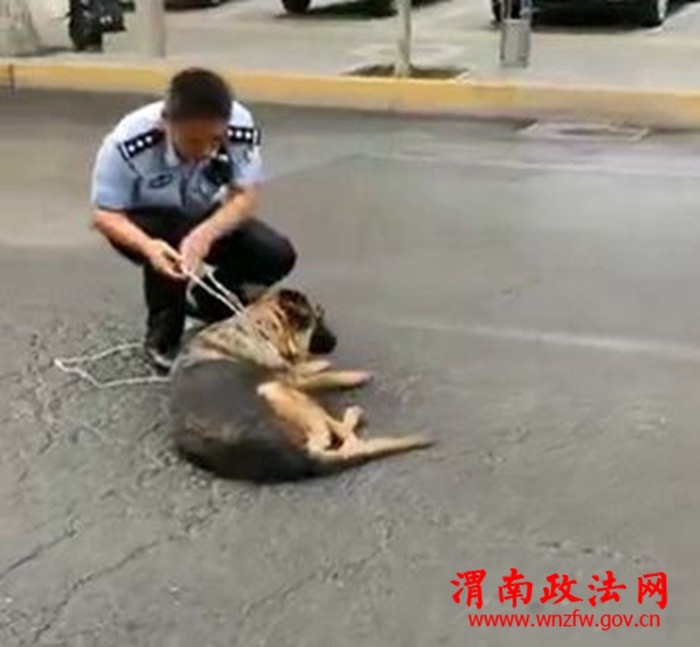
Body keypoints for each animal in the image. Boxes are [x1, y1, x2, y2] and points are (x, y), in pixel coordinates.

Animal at [169, 288, 432, 482]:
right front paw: (351, 375)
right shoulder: (291, 379)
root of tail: (299, 458)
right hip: (278, 391)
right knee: (340, 439)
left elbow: (306, 367)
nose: (336, 341)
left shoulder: (290, 372)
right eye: (319, 318)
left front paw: (319, 363)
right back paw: (353, 414)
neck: (262, 328)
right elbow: (322, 376)